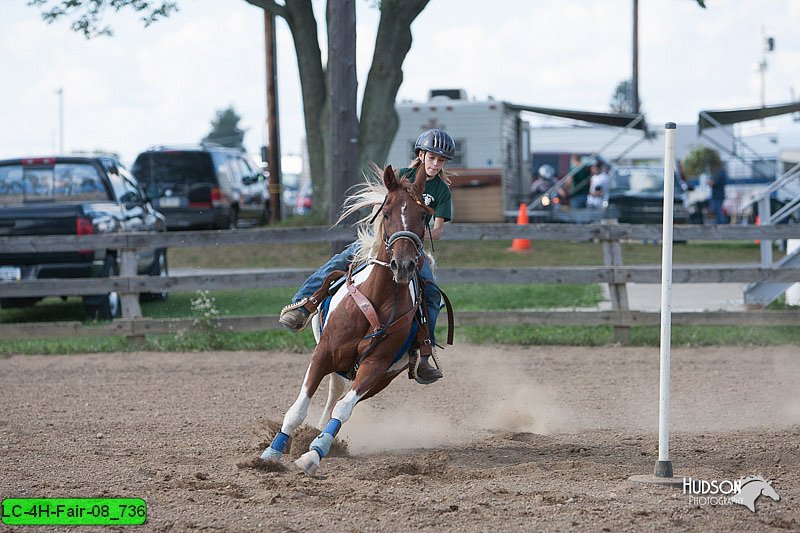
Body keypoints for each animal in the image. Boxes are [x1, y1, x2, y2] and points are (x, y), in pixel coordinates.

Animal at [260, 163, 434, 474]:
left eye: (424, 215)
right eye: (387, 212)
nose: (403, 266)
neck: (378, 300)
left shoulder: (376, 367)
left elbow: (344, 408)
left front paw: (314, 454)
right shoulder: (324, 353)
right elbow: (298, 409)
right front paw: (271, 453)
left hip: (381, 378)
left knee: (341, 398)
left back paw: (320, 437)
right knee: (333, 390)